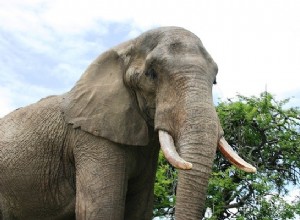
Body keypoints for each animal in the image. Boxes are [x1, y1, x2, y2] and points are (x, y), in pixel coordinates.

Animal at [0, 26, 255, 219]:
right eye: (151, 74)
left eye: (214, 80)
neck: (125, 48)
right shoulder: (91, 140)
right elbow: (101, 210)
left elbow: (139, 209)